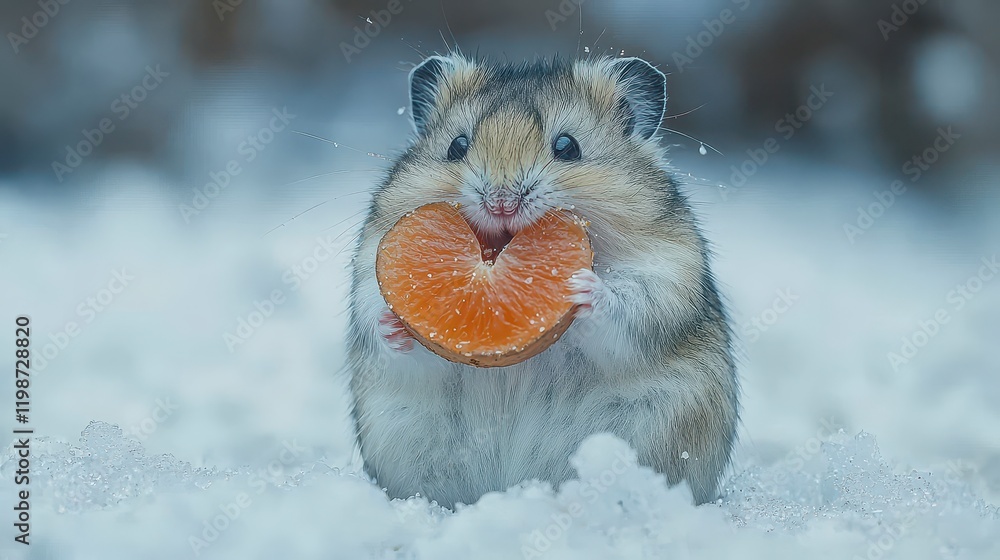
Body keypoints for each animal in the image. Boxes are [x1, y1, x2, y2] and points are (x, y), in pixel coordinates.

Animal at [348, 52, 740, 508]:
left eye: (567, 147)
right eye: (456, 146)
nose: (501, 203)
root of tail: (512, 486)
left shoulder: (667, 277)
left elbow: (624, 308)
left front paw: (581, 286)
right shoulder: (367, 274)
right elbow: (389, 332)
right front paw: (393, 323)